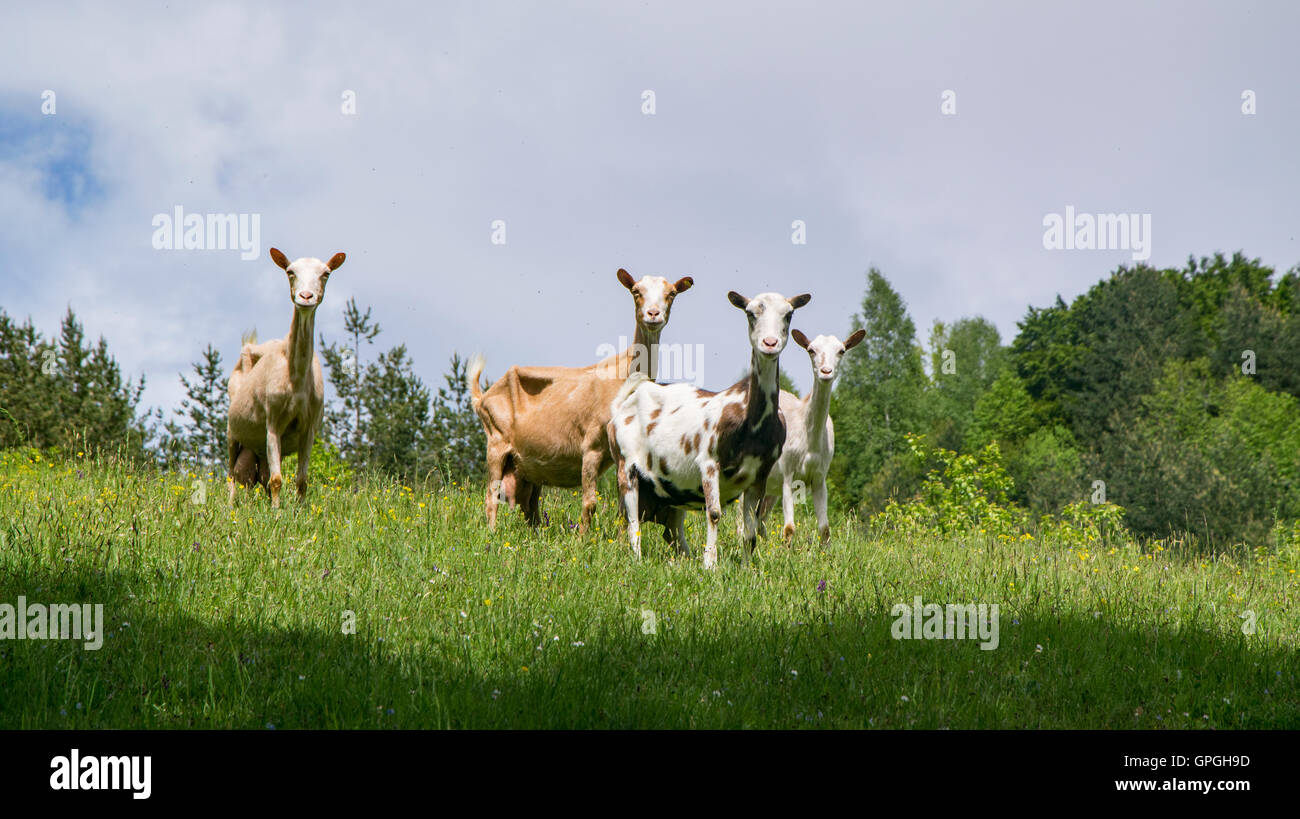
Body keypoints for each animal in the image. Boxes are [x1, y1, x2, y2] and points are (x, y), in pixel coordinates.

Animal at [227, 246, 345, 509]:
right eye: (290, 272)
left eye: (326, 273)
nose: (306, 296)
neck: (297, 379)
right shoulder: (272, 421)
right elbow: (277, 479)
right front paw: (277, 512)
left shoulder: (310, 427)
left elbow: (301, 479)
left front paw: (299, 511)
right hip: (232, 430)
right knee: (231, 474)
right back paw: (229, 506)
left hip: (256, 447)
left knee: (255, 474)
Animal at [467, 271, 691, 533]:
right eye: (636, 291)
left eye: (671, 293)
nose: (653, 314)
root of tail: (483, 397)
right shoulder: (591, 447)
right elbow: (589, 502)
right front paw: (583, 538)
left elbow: (624, 506)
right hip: (496, 443)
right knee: (491, 496)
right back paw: (491, 534)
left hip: (526, 466)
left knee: (529, 505)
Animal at [611, 289, 811, 572]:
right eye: (750, 313)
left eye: (789, 313)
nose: (770, 343)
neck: (750, 424)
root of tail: (626, 400)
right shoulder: (708, 463)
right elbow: (714, 513)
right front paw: (710, 565)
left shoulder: (759, 475)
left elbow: (750, 528)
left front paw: (746, 568)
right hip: (626, 467)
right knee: (632, 523)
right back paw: (638, 560)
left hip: (672, 492)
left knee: (672, 531)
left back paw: (685, 559)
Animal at [754, 327, 863, 546]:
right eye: (811, 350)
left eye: (841, 351)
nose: (826, 372)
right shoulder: (787, 473)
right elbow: (789, 529)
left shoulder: (820, 477)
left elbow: (825, 529)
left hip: (769, 488)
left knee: (760, 518)